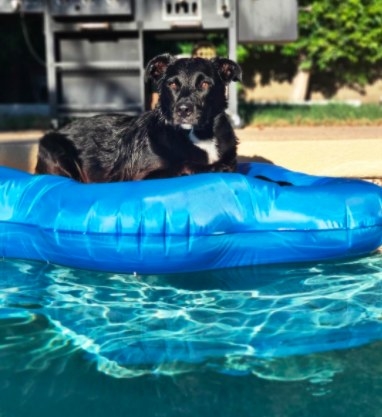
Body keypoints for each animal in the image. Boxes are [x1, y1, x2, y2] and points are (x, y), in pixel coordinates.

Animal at [34, 52, 240, 182]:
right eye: (172, 84)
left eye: (205, 84)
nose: (183, 110)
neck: (198, 135)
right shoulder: (141, 176)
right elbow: (185, 165)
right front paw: (214, 167)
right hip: (53, 147)